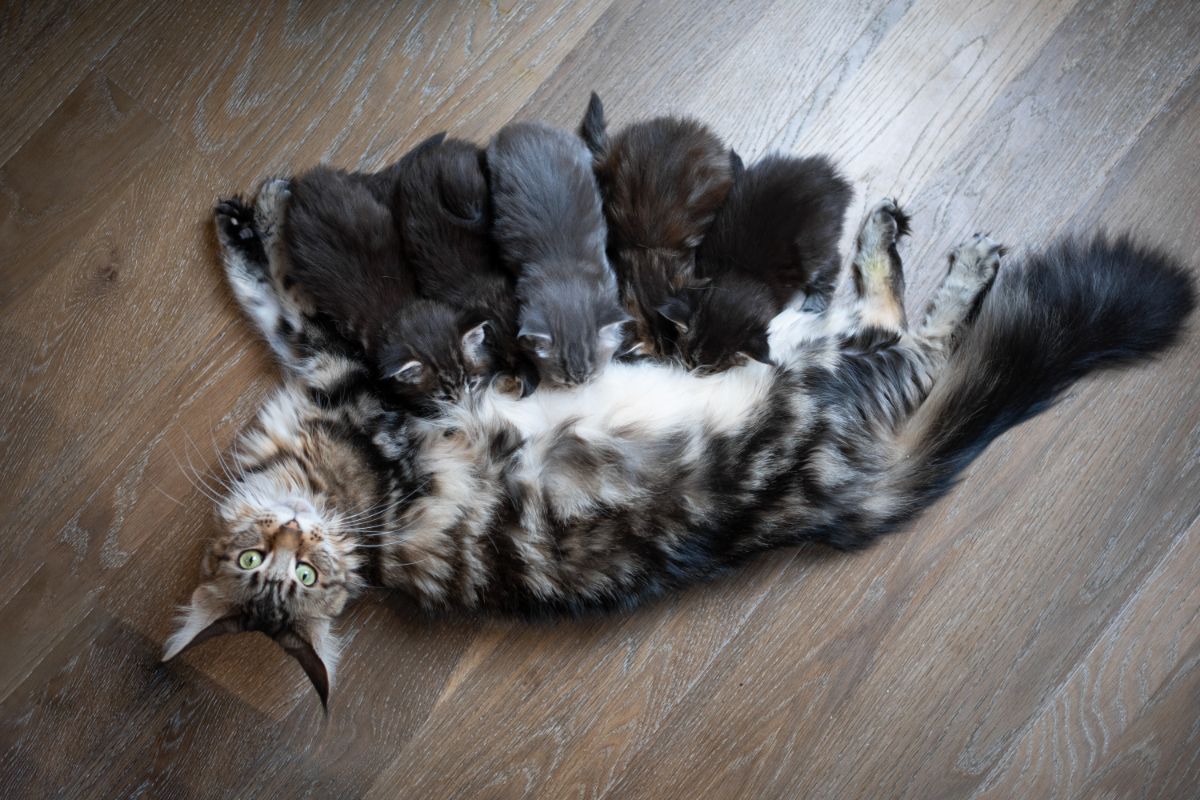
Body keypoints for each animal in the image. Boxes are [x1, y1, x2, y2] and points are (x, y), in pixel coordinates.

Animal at [164, 183, 1195, 705]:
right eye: (262, 570)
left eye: (290, 573)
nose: (291, 541)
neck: (340, 498)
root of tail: (848, 496)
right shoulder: (354, 378)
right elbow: (285, 307)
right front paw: (256, 229)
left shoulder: (351, 378)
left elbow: (273, 297)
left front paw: (249, 222)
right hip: (825, 366)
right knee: (918, 336)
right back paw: (926, 257)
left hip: (798, 354)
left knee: (904, 325)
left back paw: (893, 236)